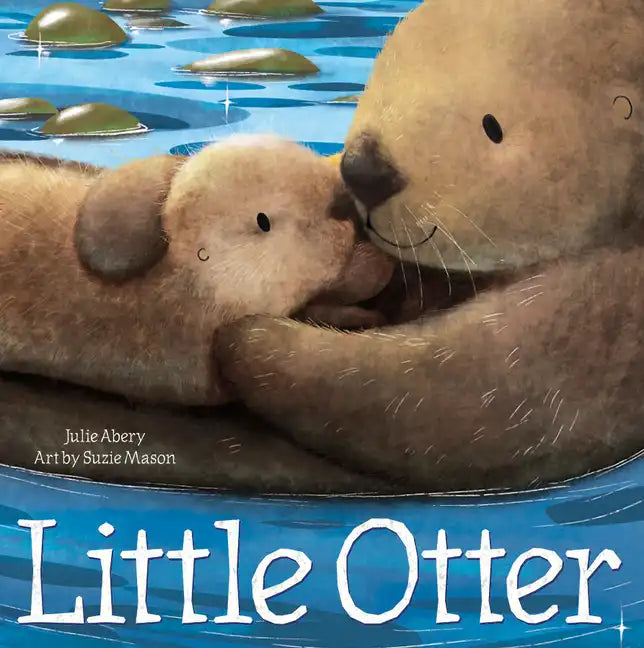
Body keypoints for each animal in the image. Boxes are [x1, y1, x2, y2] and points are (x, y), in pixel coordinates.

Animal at [215, 0, 644, 492]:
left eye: (492, 127)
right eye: (379, 79)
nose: (364, 170)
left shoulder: (596, 319)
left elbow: (459, 387)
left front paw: (246, 335)